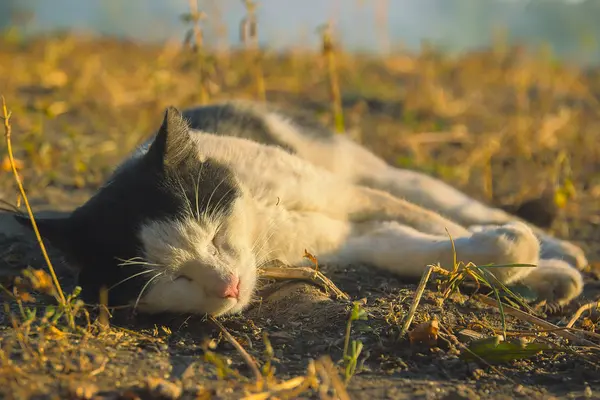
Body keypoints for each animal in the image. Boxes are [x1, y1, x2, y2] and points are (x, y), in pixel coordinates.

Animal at [14, 100, 584, 316]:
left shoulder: (346, 197)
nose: (228, 285)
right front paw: (524, 264)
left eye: (215, 236)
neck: (265, 227)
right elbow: (415, 247)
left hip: (364, 170)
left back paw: (565, 249)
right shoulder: (347, 240)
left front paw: (534, 257)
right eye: (174, 278)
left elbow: (437, 224)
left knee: (439, 198)